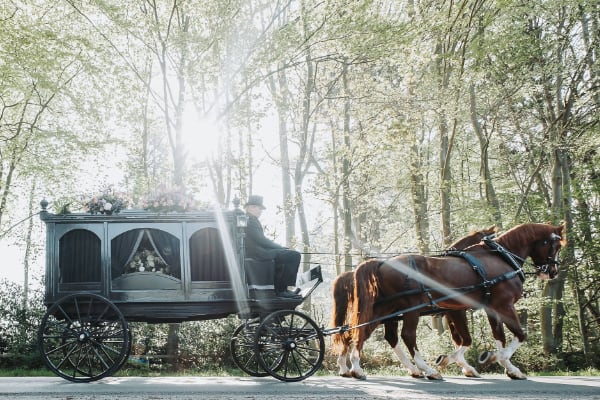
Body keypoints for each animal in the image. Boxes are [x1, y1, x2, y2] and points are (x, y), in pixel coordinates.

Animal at [328, 225, 496, 378]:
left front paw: (464, 366)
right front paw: (463, 365)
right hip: (402, 310)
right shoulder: (456, 310)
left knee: (356, 331)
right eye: (490, 241)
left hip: (384, 312)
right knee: (399, 335)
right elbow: (463, 339)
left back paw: (347, 367)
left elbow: (457, 339)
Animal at [350, 223, 564, 380]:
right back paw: (428, 370)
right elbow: (518, 334)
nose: (552, 271)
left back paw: (357, 367)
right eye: (556, 246)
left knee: (364, 331)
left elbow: (495, 337)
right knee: (407, 336)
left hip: (385, 308)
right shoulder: (503, 305)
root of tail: (382, 262)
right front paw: (502, 362)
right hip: (410, 308)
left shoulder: (486, 308)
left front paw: (503, 366)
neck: (501, 258)